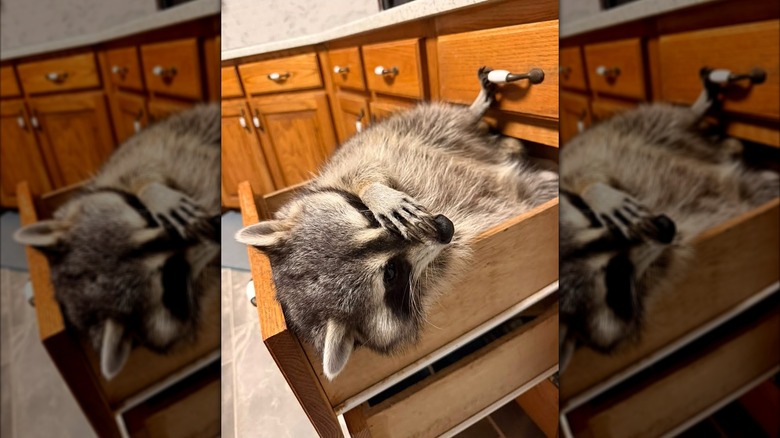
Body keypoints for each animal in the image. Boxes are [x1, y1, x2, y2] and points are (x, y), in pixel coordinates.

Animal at [14, 105, 221, 380]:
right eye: (173, 272)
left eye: (148, 218)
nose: (217, 226)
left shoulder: (130, 158)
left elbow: (141, 161)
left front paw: (149, 188)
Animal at [236, 68, 558, 379]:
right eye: (391, 273)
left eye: (368, 217)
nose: (446, 226)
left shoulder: (344, 167)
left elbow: (364, 166)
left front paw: (375, 192)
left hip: (406, 126)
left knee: (445, 120)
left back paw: (478, 114)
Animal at [559, 99, 779, 371]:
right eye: (616, 276)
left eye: (592, 219)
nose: (666, 226)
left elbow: (577, 162)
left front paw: (594, 190)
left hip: (632, 127)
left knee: (663, 118)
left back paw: (702, 117)